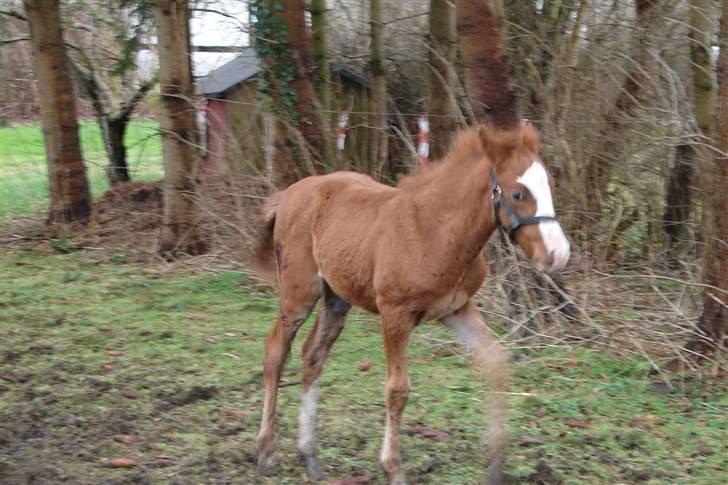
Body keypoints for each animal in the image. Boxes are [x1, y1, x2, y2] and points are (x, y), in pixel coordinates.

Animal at [256, 123, 568, 482]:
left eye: (551, 186)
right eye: (518, 194)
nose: (559, 254)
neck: (435, 230)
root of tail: (288, 194)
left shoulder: (458, 310)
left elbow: (497, 364)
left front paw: (495, 464)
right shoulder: (395, 313)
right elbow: (397, 389)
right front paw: (393, 469)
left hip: (337, 298)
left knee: (312, 357)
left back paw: (309, 456)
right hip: (299, 294)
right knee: (275, 352)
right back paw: (265, 451)